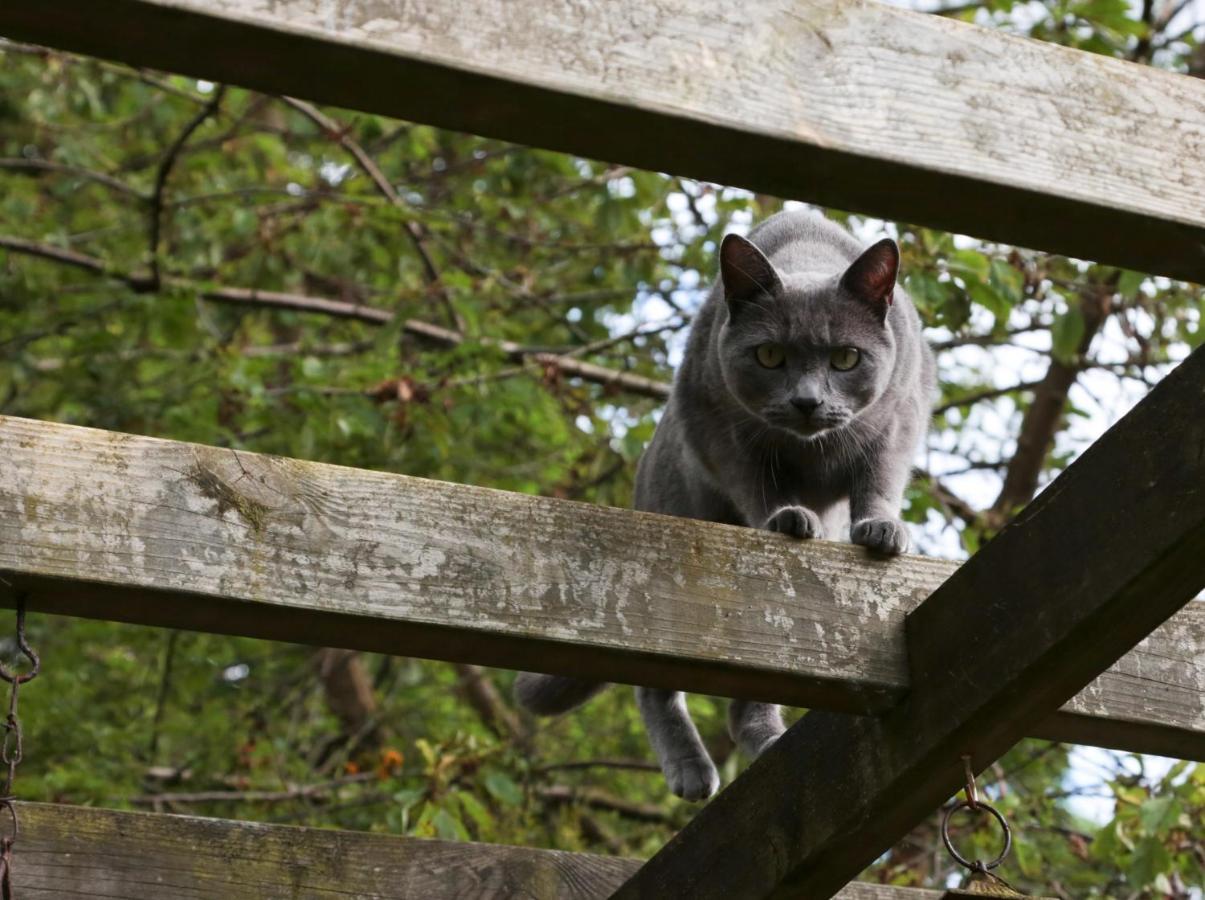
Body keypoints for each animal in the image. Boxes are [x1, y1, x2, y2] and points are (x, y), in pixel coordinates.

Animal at [513, 210, 935, 804]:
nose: (807, 401)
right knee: (655, 687)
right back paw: (691, 771)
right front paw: (787, 518)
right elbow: (757, 485)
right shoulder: (718, 427)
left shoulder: (901, 416)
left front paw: (881, 528)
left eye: (846, 358)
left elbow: (879, 478)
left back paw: (767, 741)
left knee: (749, 685)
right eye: (770, 355)